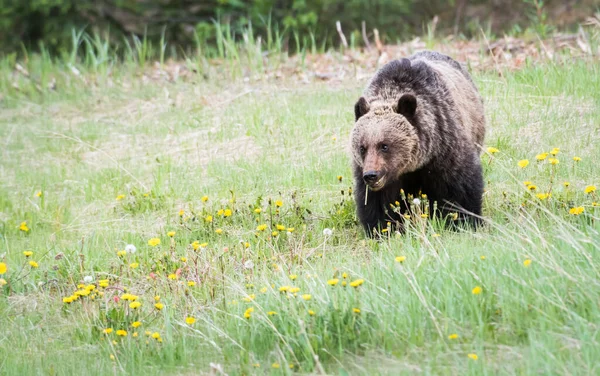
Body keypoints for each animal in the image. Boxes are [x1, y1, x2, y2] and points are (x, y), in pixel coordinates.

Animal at [352, 51, 488, 236]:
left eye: (384, 145)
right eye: (362, 147)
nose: (371, 175)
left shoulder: (444, 146)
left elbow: (460, 188)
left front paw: (464, 221)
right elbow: (376, 202)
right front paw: (382, 229)